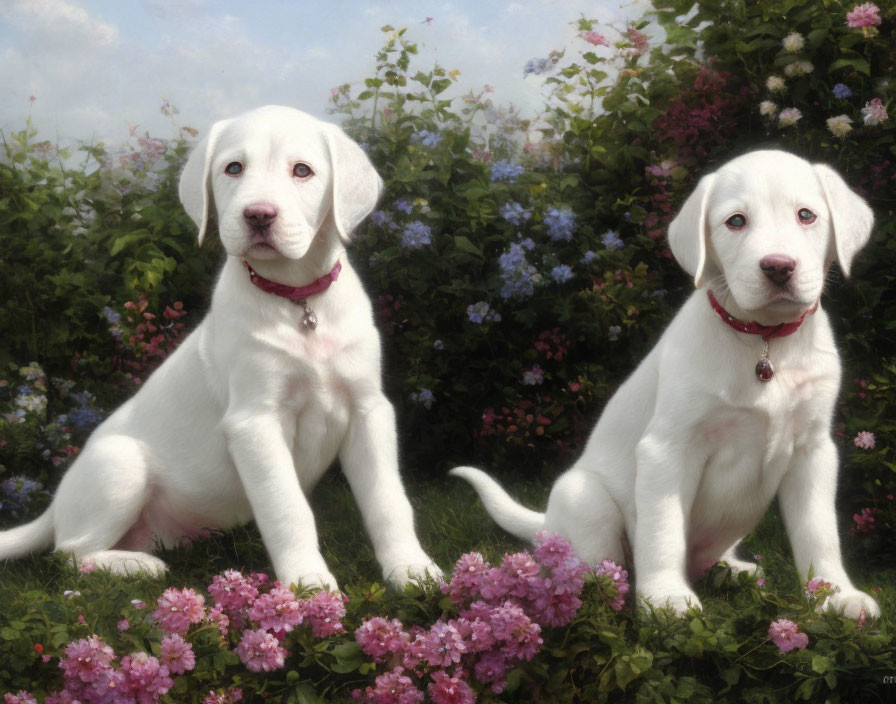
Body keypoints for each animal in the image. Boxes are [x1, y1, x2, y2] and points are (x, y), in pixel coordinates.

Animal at [0, 103, 440, 588]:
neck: (298, 302)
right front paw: (308, 586)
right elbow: (288, 509)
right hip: (121, 463)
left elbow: (388, 499)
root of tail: (55, 507)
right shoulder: (256, 421)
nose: (259, 215)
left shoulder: (368, 409)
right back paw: (137, 566)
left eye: (302, 171)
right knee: (69, 555)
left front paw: (411, 568)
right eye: (233, 168)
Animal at [456, 151, 880, 620]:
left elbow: (819, 532)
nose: (778, 266)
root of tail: (546, 523)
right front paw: (665, 597)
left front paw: (834, 594)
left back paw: (734, 569)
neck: (764, 342)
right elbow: (663, 531)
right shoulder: (668, 449)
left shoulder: (812, 451)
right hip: (583, 498)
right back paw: (602, 587)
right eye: (736, 221)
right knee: (595, 565)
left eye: (806, 215)